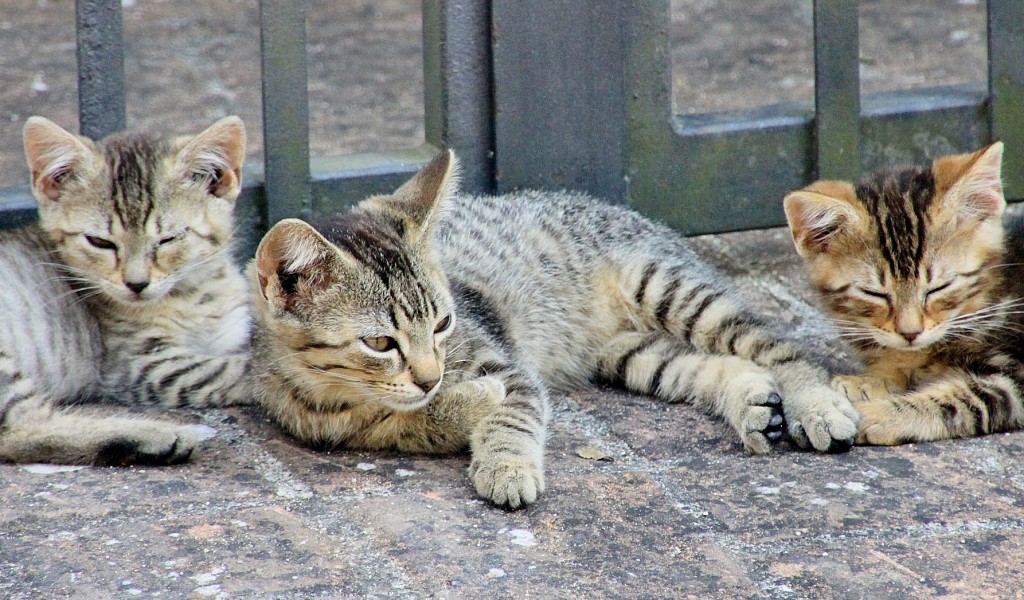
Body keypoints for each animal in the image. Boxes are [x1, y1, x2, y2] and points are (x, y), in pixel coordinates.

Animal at [0, 114, 253, 464]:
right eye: (100, 242)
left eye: (169, 239)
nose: (136, 284)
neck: (194, 292)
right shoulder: (141, 365)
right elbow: (240, 369)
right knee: (18, 430)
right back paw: (150, 437)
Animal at [251, 147, 860, 507]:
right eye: (380, 342)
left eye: (444, 323)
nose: (429, 376)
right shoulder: (327, 424)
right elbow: (407, 424)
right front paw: (447, 408)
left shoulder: (507, 365)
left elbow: (511, 412)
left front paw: (505, 463)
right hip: (631, 355)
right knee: (708, 362)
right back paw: (751, 399)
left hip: (666, 287)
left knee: (775, 346)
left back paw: (813, 403)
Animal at [782, 142, 1024, 444]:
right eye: (874, 294)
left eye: (938, 288)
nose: (910, 333)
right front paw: (868, 380)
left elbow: (963, 401)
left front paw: (872, 414)